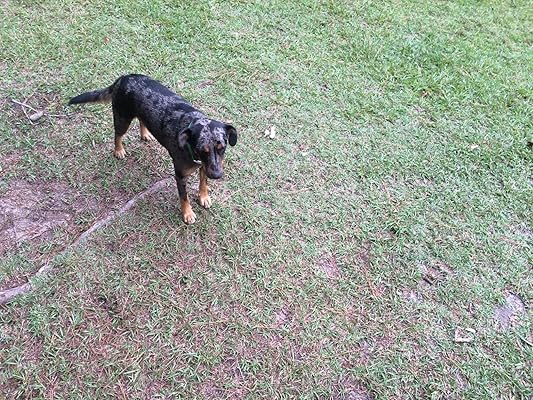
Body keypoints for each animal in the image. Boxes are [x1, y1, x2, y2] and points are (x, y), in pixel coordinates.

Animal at [69, 74, 237, 224]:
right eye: (202, 150)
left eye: (222, 147)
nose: (216, 175)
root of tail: (122, 78)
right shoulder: (181, 176)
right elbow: (184, 197)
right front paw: (187, 213)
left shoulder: (205, 166)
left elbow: (203, 182)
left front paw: (203, 197)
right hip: (122, 118)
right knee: (117, 135)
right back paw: (118, 150)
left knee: (142, 121)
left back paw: (145, 134)